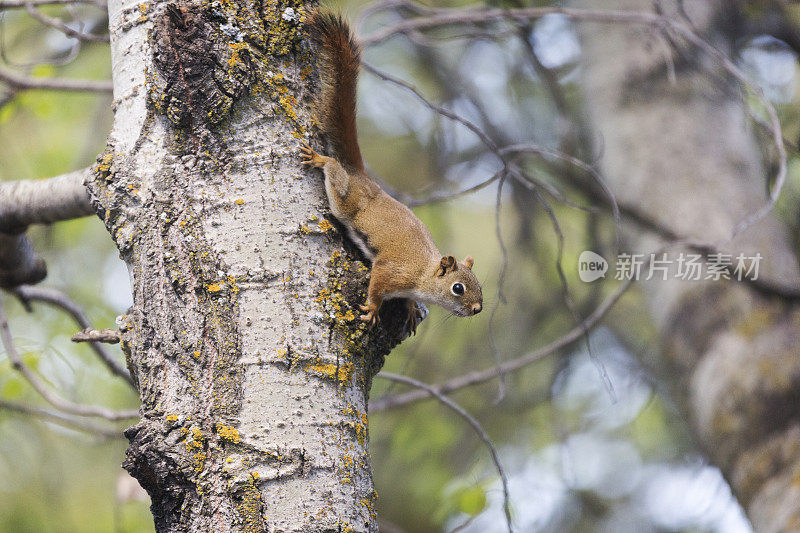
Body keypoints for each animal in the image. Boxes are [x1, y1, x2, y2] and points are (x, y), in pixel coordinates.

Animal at [296, 12, 478, 330]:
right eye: (458, 288)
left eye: (479, 285)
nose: (478, 308)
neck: (424, 274)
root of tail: (362, 176)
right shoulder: (392, 271)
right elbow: (377, 287)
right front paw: (372, 309)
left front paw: (410, 309)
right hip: (345, 199)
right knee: (335, 173)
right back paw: (322, 159)